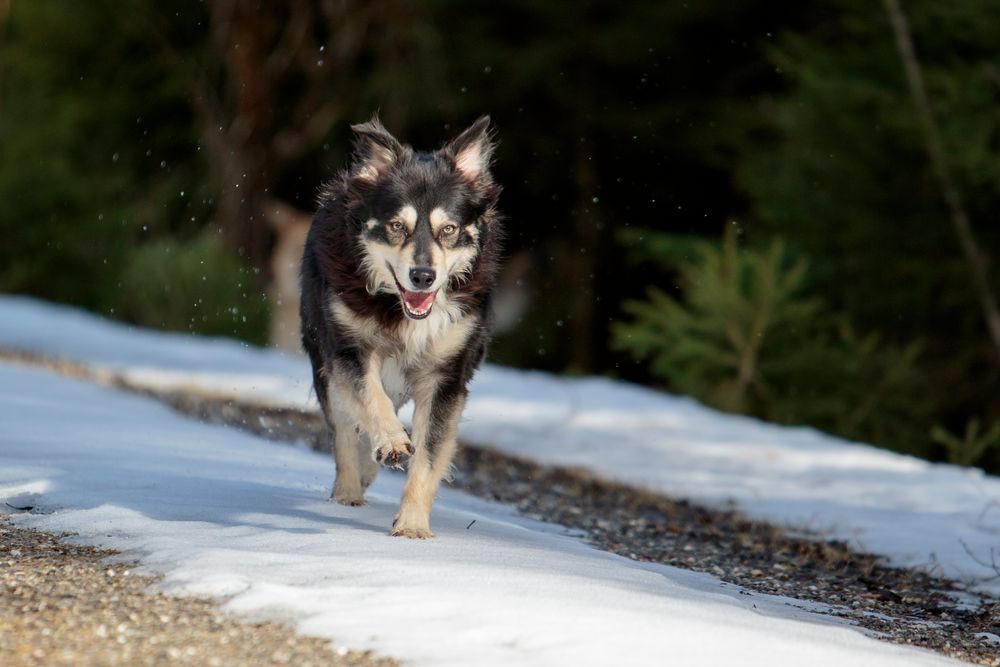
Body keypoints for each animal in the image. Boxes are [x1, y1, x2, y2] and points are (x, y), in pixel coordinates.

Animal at [296, 117, 500, 540]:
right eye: (395, 226)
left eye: (448, 229)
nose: (423, 276)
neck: (400, 309)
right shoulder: (348, 350)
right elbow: (370, 399)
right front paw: (390, 442)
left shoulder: (446, 377)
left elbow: (428, 455)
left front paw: (412, 527)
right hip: (322, 357)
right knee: (345, 431)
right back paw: (349, 491)